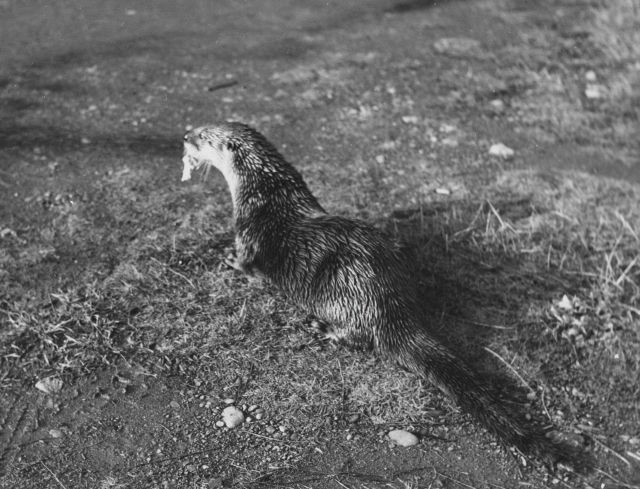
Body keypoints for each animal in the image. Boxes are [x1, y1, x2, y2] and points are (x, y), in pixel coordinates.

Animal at [181, 122, 589, 470]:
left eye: (204, 135)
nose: (184, 136)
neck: (265, 194)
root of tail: (391, 305)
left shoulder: (248, 236)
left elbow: (246, 265)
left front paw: (226, 258)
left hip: (341, 292)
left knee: (362, 339)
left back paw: (323, 328)